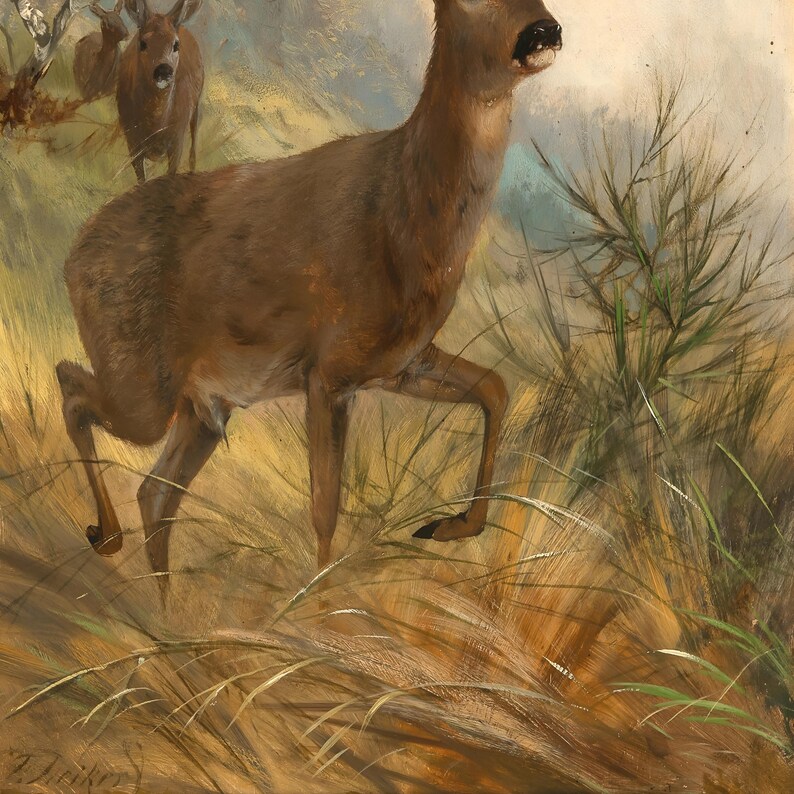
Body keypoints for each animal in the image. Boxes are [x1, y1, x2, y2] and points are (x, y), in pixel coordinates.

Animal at [117, 0, 203, 181]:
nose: (164, 70)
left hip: (196, 106)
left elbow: (170, 175)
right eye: (143, 43)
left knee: (193, 149)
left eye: (176, 44)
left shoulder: (178, 138)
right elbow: (141, 180)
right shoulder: (132, 139)